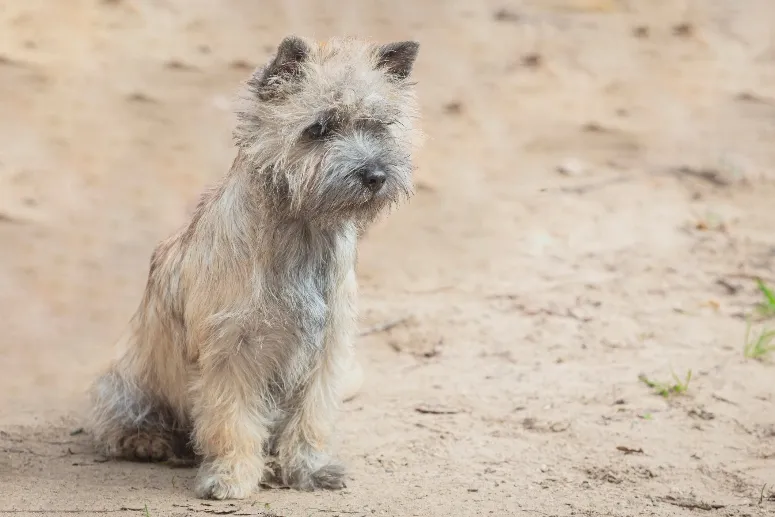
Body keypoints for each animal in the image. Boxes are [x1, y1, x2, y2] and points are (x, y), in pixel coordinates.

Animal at [88, 34, 422, 498]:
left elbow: (311, 419)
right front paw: (231, 475)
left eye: (379, 126)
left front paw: (310, 469)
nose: (374, 175)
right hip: (125, 382)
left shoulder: (326, 352)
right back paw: (150, 441)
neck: (302, 234)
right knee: (120, 423)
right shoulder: (234, 352)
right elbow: (232, 420)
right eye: (319, 129)